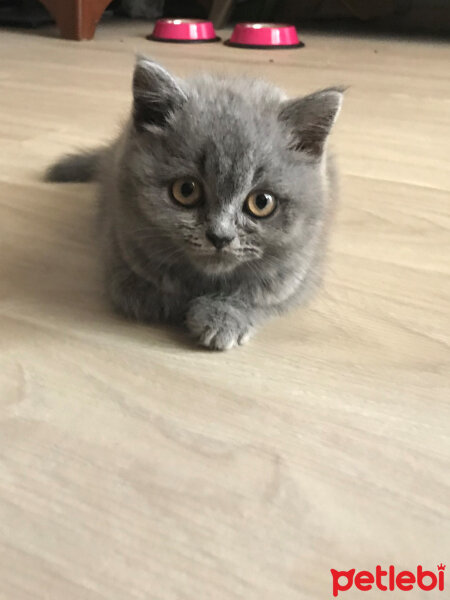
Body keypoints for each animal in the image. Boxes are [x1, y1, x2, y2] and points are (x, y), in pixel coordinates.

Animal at [45, 58, 342, 350]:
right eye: (186, 190)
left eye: (261, 202)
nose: (220, 237)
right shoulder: (118, 237)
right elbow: (135, 288)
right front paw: (171, 301)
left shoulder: (299, 269)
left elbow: (262, 294)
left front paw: (221, 316)